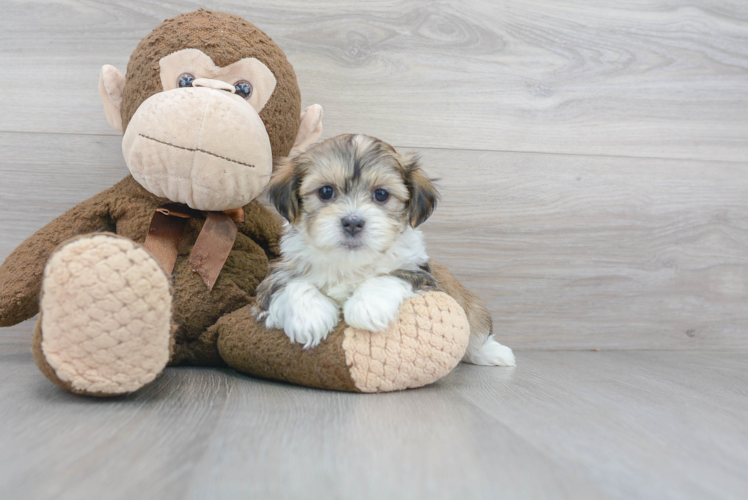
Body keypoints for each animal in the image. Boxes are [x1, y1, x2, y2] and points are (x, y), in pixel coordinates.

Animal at [251, 134, 516, 368]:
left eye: (381, 194)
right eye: (326, 192)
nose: (353, 222)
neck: (349, 262)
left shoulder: (423, 276)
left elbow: (390, 275)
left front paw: (367, 308)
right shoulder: (277, 276)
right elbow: (293, 285)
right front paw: (309, 316)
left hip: (474, 311)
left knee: (475, 335)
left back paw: (495, 354)